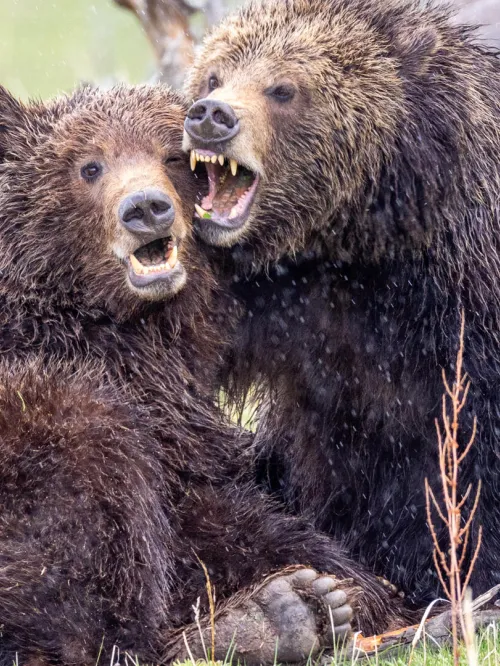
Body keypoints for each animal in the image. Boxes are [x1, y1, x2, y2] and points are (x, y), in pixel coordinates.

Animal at [0, 83, 406, 666]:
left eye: (173, 157)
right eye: (89, 166)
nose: (146, 207)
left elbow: (215, 513)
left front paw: (340, 587)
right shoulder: (105, 380)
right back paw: (262, 620)